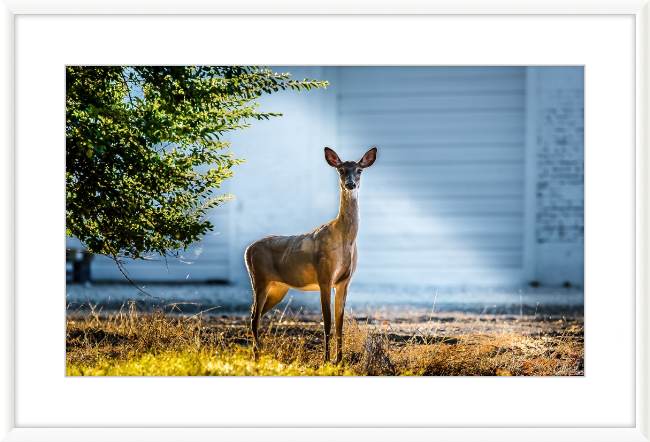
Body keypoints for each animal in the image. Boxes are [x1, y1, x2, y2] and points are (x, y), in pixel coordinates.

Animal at [242, 147, 374, 364]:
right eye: (341, 170)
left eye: (359, 170)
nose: (350, 184)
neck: (345, 239)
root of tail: (247, 250)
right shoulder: (325, 276)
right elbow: (327, 322)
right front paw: (326, 361)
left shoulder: (344, 281)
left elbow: (340, 323)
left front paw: (340, 361)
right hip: (259, 279)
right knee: (254, 316)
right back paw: (256, 357)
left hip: (279, 287)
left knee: (256, 314)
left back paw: (257, 354)